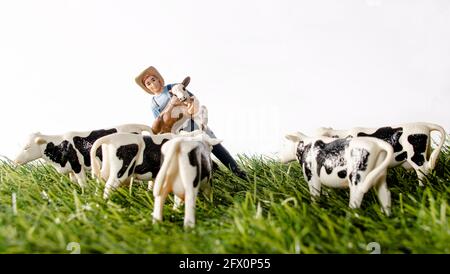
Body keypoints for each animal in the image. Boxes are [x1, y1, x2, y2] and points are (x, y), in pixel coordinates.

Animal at [13, 124, 151, 191]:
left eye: (26, 147)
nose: (15, 160)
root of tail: (136, 126)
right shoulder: (70, 169)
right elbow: (74, 181)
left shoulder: (77, 165)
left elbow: (82, 181)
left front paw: (85, 193)